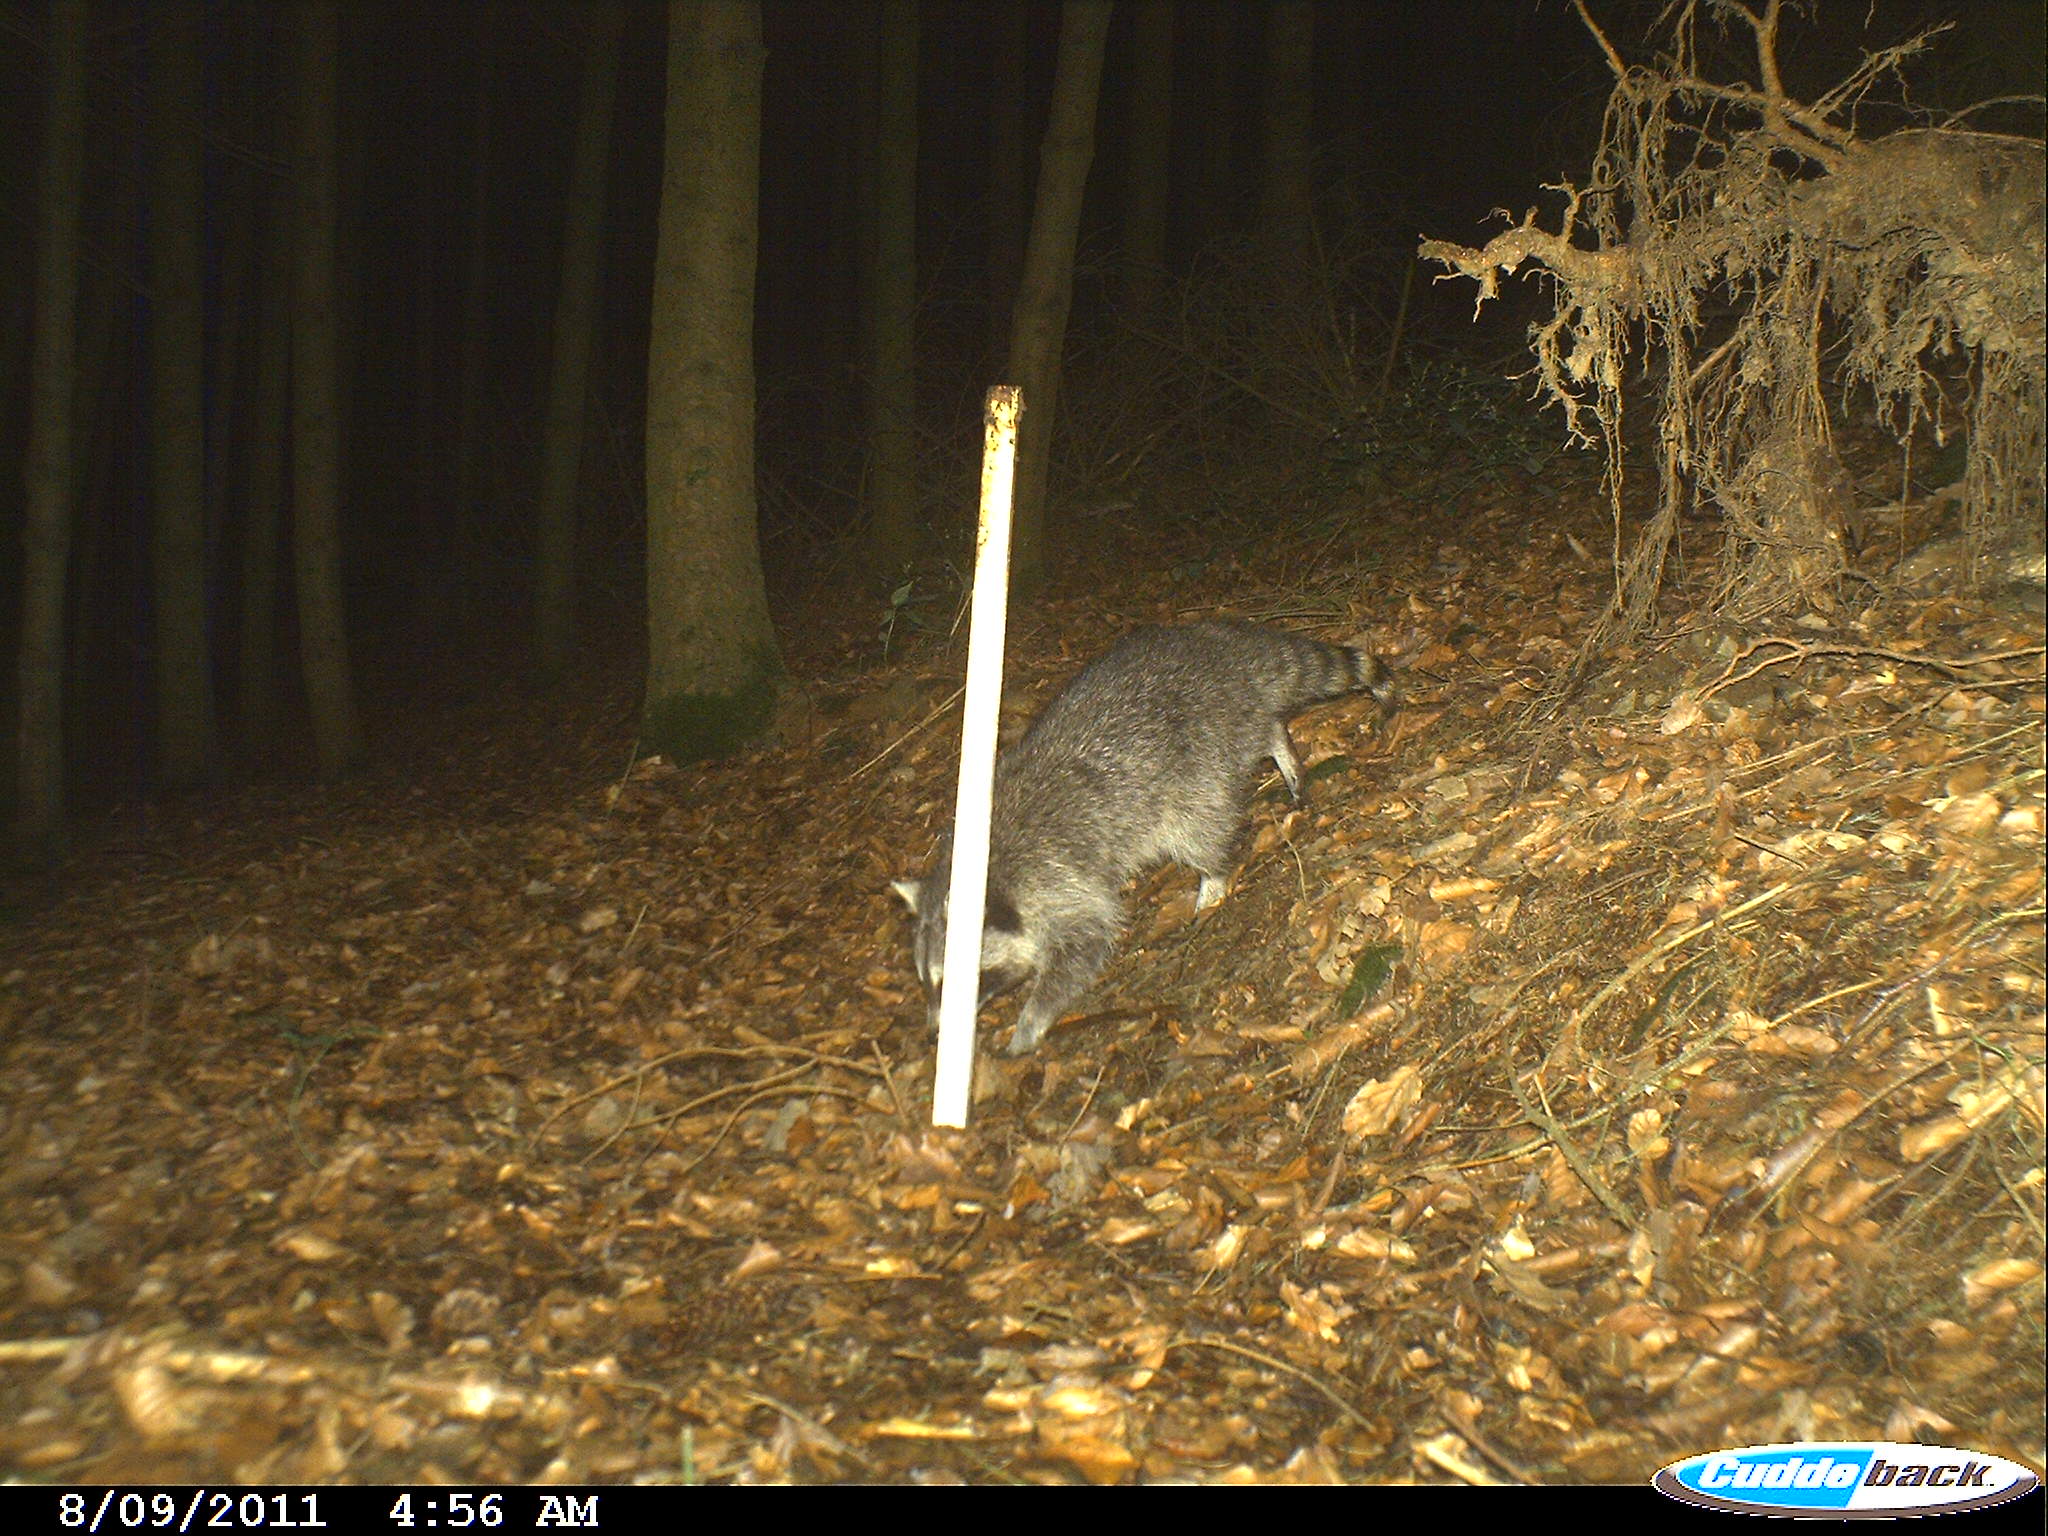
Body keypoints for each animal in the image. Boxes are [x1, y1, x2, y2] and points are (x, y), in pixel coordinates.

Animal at [893, 622, 1396, 1054]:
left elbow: (1083, 942)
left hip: (1198, 753)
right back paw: (1278, 743)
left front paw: (1033, 1017)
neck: (983, 868)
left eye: (951, 983)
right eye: (925, 980)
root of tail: (1221, 651)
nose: (934, 1034)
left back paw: (1213, 876)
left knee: (1199, 823)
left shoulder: (1055, 880)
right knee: (1262, 729)